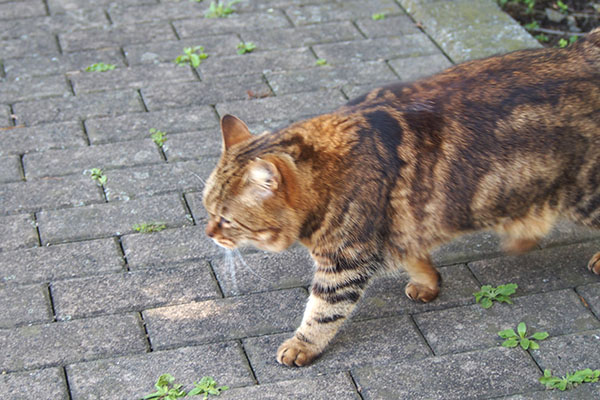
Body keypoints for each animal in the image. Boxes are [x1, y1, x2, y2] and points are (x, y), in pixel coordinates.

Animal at [203, 27, 600, 366]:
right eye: (206, 208)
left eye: (226, 219)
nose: (208, 233)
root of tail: (580, 49)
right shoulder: (402, 227)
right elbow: (415, 256)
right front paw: (428, 282)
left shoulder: (345, 261)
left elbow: (322, 311)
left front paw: (302, 345)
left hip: (585, 195)